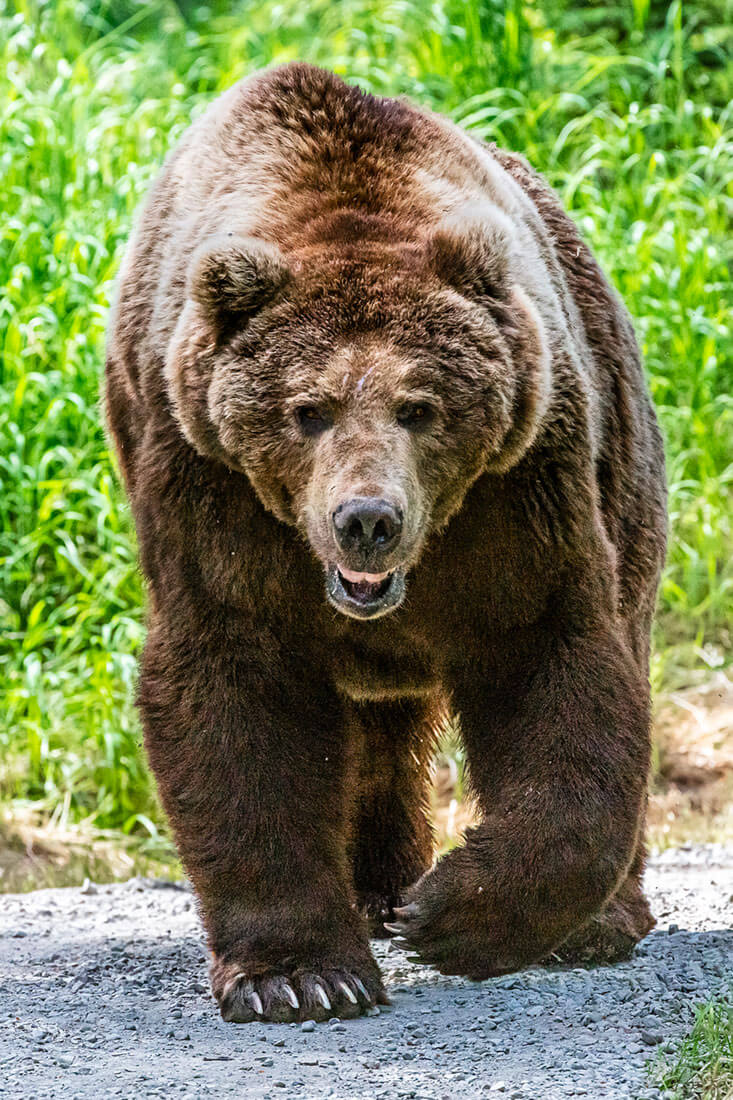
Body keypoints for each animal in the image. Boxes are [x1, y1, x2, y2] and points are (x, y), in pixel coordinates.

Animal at [105, 62, 667, 1023]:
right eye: (307, 408)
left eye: (419, 406)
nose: (366, 519)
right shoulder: (206, 481)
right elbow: (236, 689)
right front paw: (302, 976)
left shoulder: (516, 490)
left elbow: (552, 660)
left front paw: (452, 913)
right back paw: (373, 891)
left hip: (615, 441)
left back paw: (590, 922)